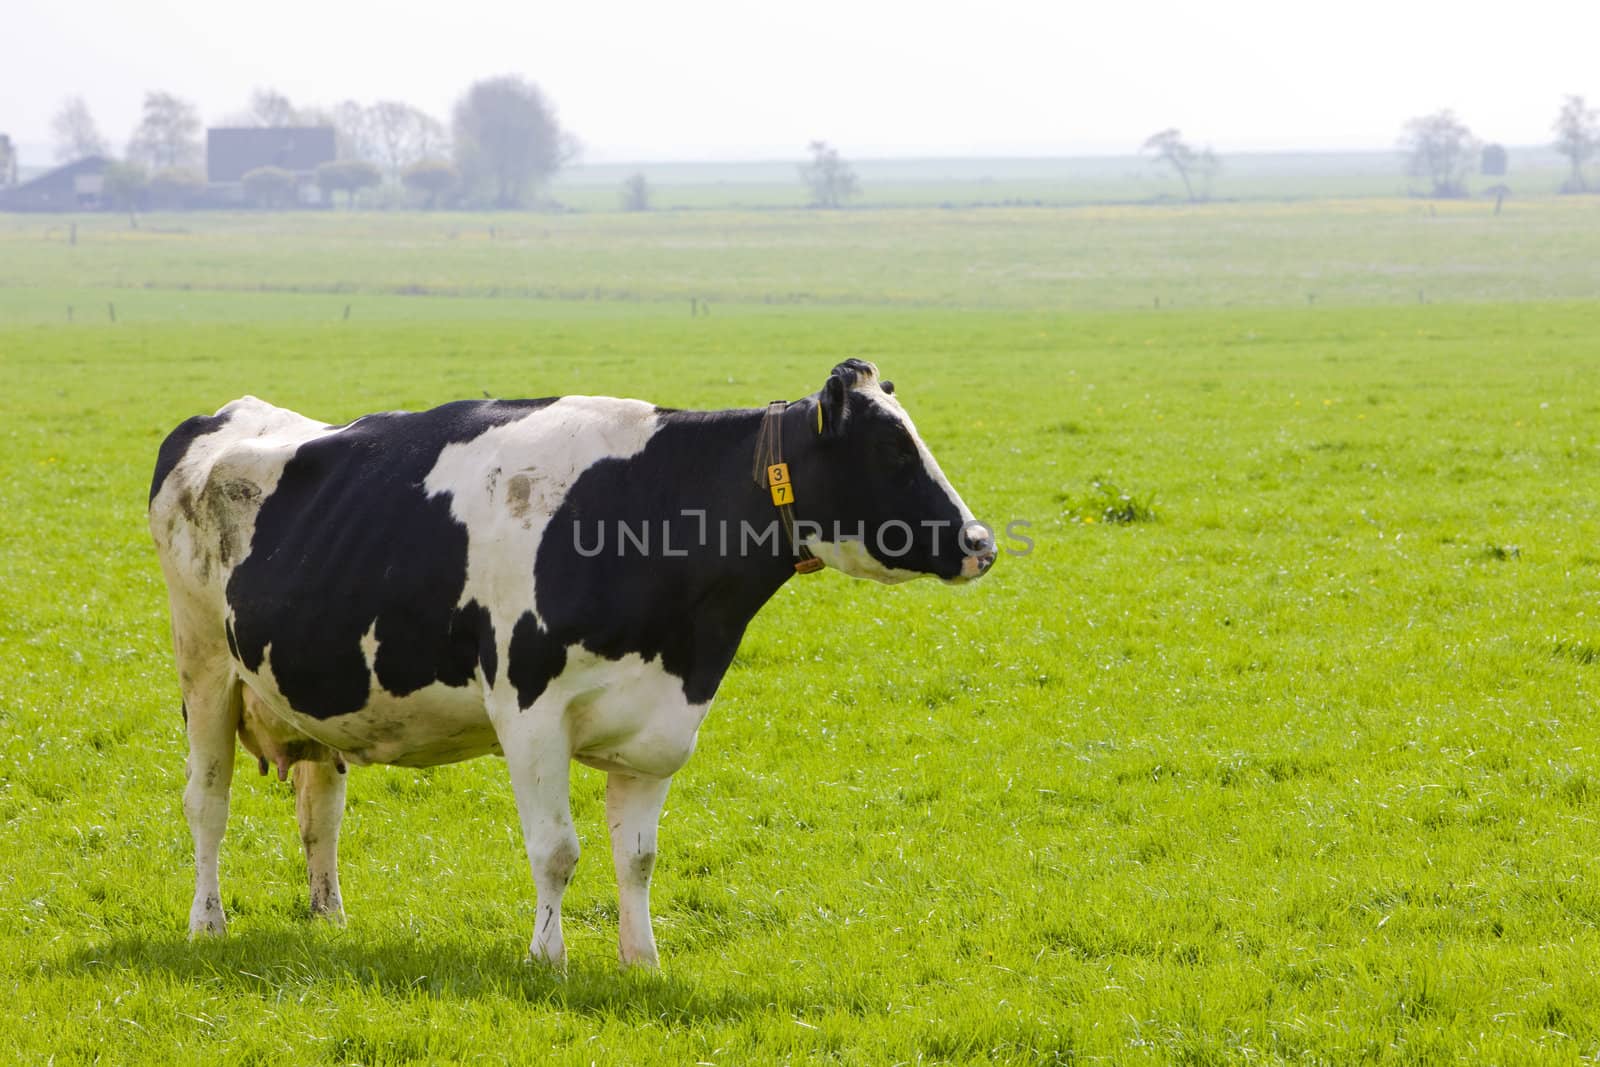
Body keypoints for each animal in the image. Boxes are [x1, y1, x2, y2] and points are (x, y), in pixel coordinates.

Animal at [152, 358, 998, 966]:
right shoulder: (528, 711)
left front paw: (642, 959)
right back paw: (207, 924)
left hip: (313, 697)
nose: (981, 541)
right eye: (891, 448)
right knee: (207, 802)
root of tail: (221, 416)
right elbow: (556, 850)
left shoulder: (656, 721)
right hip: (204, 665)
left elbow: (639, 857)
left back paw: (330, 916)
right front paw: (547, 957)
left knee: (320, 809)